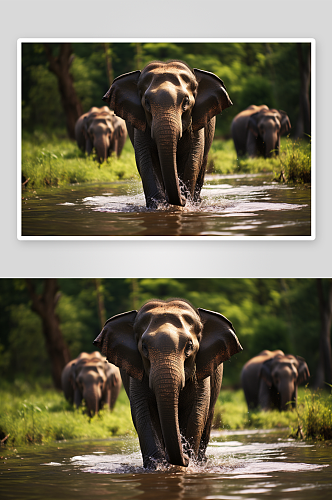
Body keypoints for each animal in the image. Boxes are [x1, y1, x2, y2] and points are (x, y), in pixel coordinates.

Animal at [92, 296, 243, 468]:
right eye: (144, 347)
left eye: (189, 346)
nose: (185, 457)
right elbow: (143, 411)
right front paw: (158, 466)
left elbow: (196, 412)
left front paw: (187, 463)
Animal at [102, 59, 232, 208]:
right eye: (146, 102)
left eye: (186, 101)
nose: (183, 198)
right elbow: (146, 159)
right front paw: (159, 206)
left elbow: (192, 159)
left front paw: (185, 204)